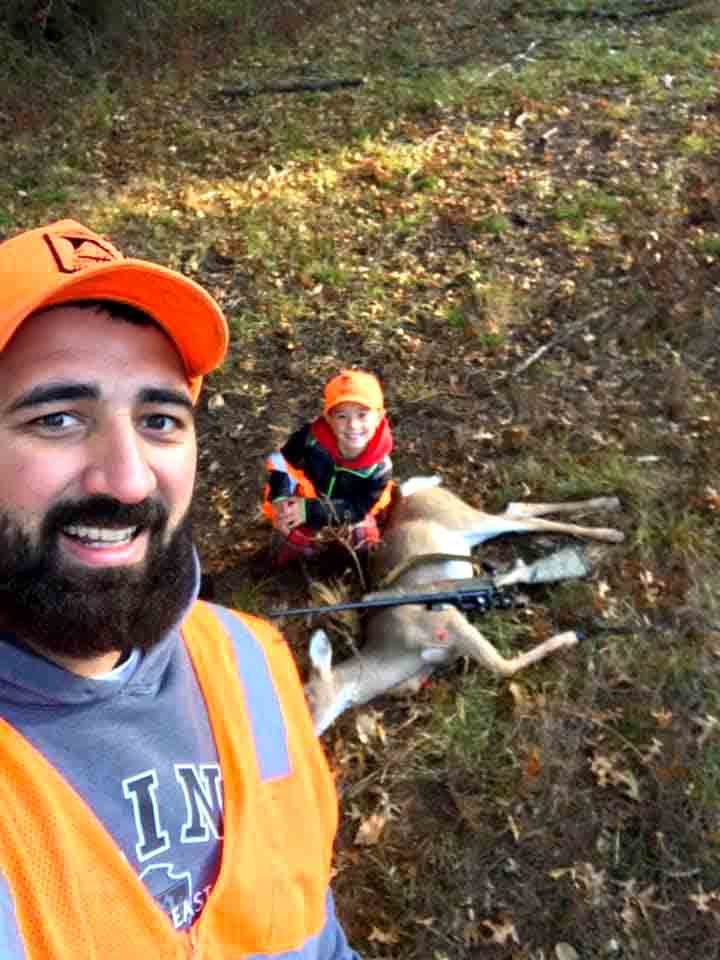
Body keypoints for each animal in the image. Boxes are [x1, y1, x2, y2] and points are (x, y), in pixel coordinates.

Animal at [304, 480, 624, 736]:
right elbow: (416, 682)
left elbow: (502, 666)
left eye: (307, 695)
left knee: (522, 520)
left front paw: (570, 636)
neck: (396, 648)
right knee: (516, 509)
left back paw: (611, 527)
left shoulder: (445, 617)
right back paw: (608, 509)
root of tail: (412, 490)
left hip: (462, 519)